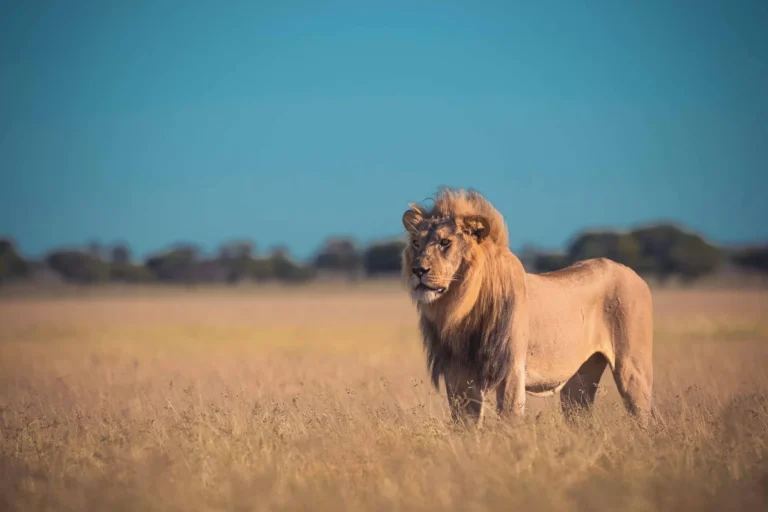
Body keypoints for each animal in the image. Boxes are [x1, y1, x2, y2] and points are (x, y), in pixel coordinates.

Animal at [401, 188, 654, 427]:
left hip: (632, 369)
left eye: (445, 242)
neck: (460, 308)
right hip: (579, 381)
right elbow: (466, 425)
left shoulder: (511, 370)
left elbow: (509, 420)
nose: (418, 270)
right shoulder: (458, 374)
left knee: (646, 418)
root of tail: (633, 274)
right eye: (416, 243)